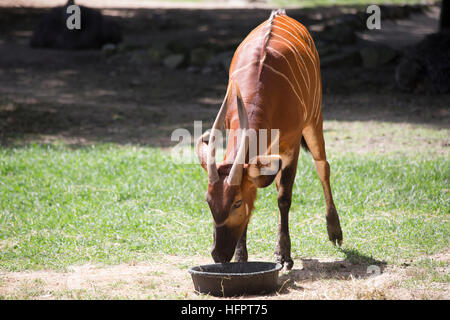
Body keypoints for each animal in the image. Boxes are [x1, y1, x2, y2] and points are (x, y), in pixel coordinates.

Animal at [195, 9, 342, 270]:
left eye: (236, 202)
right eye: (208, 201)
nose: (218, 255)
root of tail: (281, 13)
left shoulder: (292, 145)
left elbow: (284, 197)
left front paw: (283, 256)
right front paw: (241, 257)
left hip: (315, 118)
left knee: (322, 166)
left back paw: (334, 231)